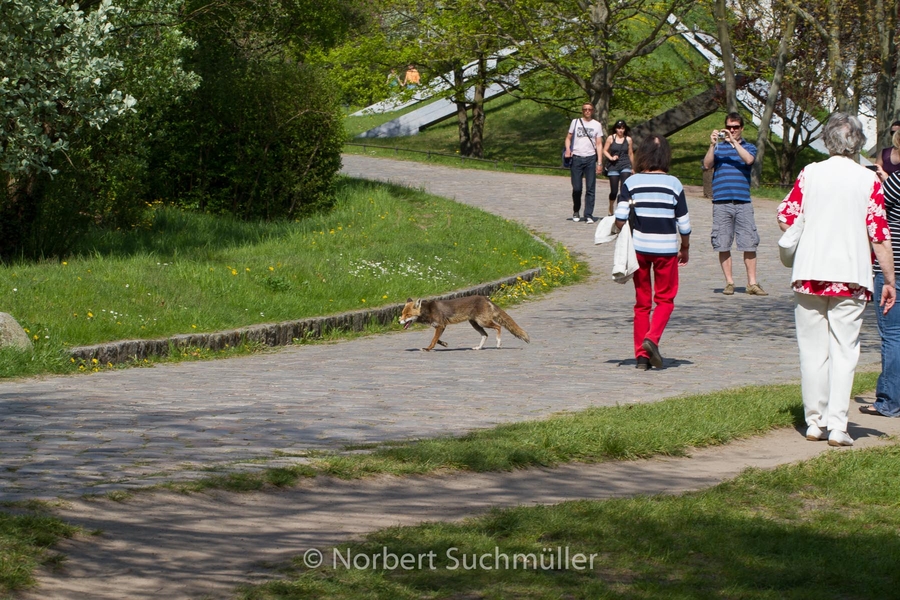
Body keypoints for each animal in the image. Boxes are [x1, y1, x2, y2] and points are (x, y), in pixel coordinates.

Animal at [400, 296, 528, 352]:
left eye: (408, 315)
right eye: (402, 314)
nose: (399, 321)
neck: (429, 311)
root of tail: (485, 298)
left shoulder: (441, 325)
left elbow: (433, 340)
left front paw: (428, 348)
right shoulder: (440, 326)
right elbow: (437, 339)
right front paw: (444, 344)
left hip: (483, 322)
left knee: (498, 327)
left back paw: (498, 343)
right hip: (475, 324)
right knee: (485, 335)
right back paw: (479, 347)